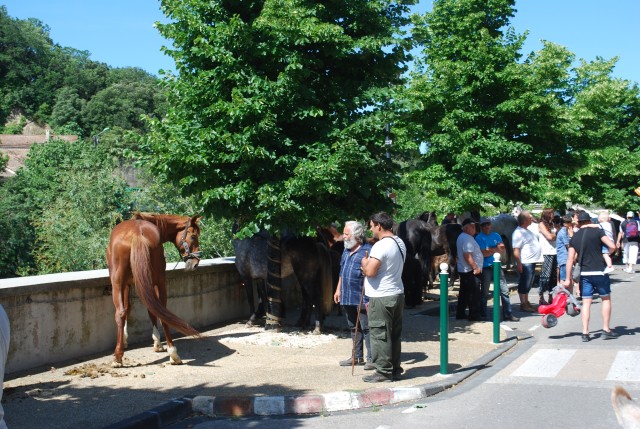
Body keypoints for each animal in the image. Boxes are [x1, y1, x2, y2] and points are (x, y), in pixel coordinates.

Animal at [107, 212, 202, 366]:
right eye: (193, 236)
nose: (195, 263)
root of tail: (137, 234)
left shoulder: (127, 284)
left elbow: (128, 309)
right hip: (156, 282)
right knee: (160, 310)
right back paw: (173, 353)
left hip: (118, 284)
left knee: (121, 313)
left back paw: (118, 357)